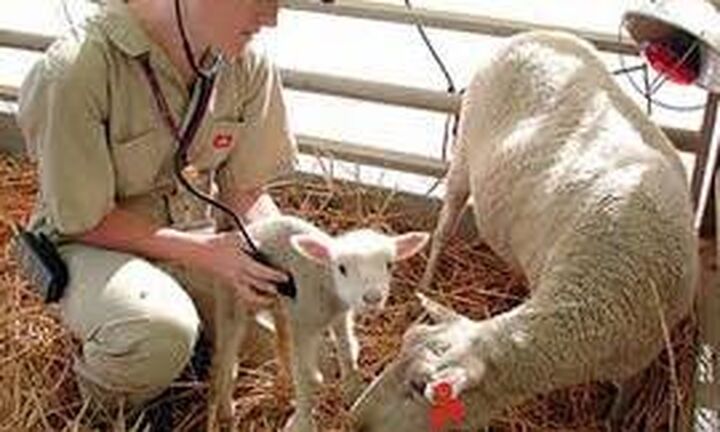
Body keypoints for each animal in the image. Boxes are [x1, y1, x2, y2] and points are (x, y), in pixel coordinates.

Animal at [348, 31, 696, 432]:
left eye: (420, 387)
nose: (354, 417)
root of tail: (531, 35)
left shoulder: (639, 358)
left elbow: (623, 398)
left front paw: (613, 419)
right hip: (463, 154)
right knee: (443, 229)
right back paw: (426, 280)